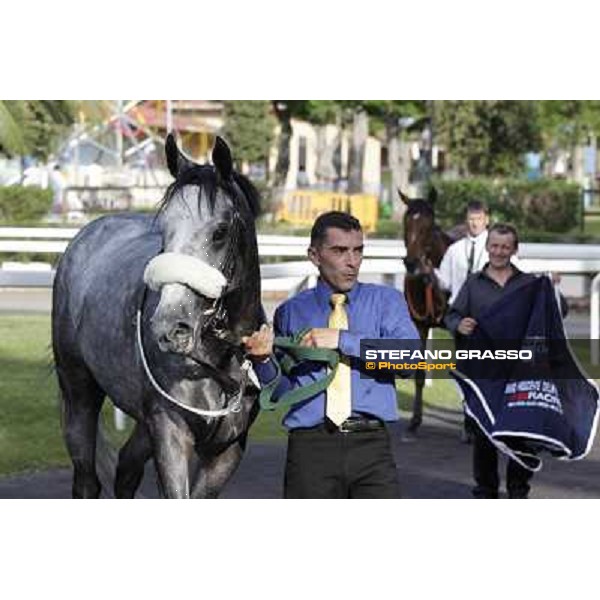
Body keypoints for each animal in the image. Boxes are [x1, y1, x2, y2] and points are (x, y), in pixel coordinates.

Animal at [52, 135, 264, 496]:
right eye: (164, 231)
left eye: (220, 232)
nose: (170, 327)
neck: (218, 361)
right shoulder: (169, 430)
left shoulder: (228, 448)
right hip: (79, 393)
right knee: (87, 479)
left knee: (126, 468)